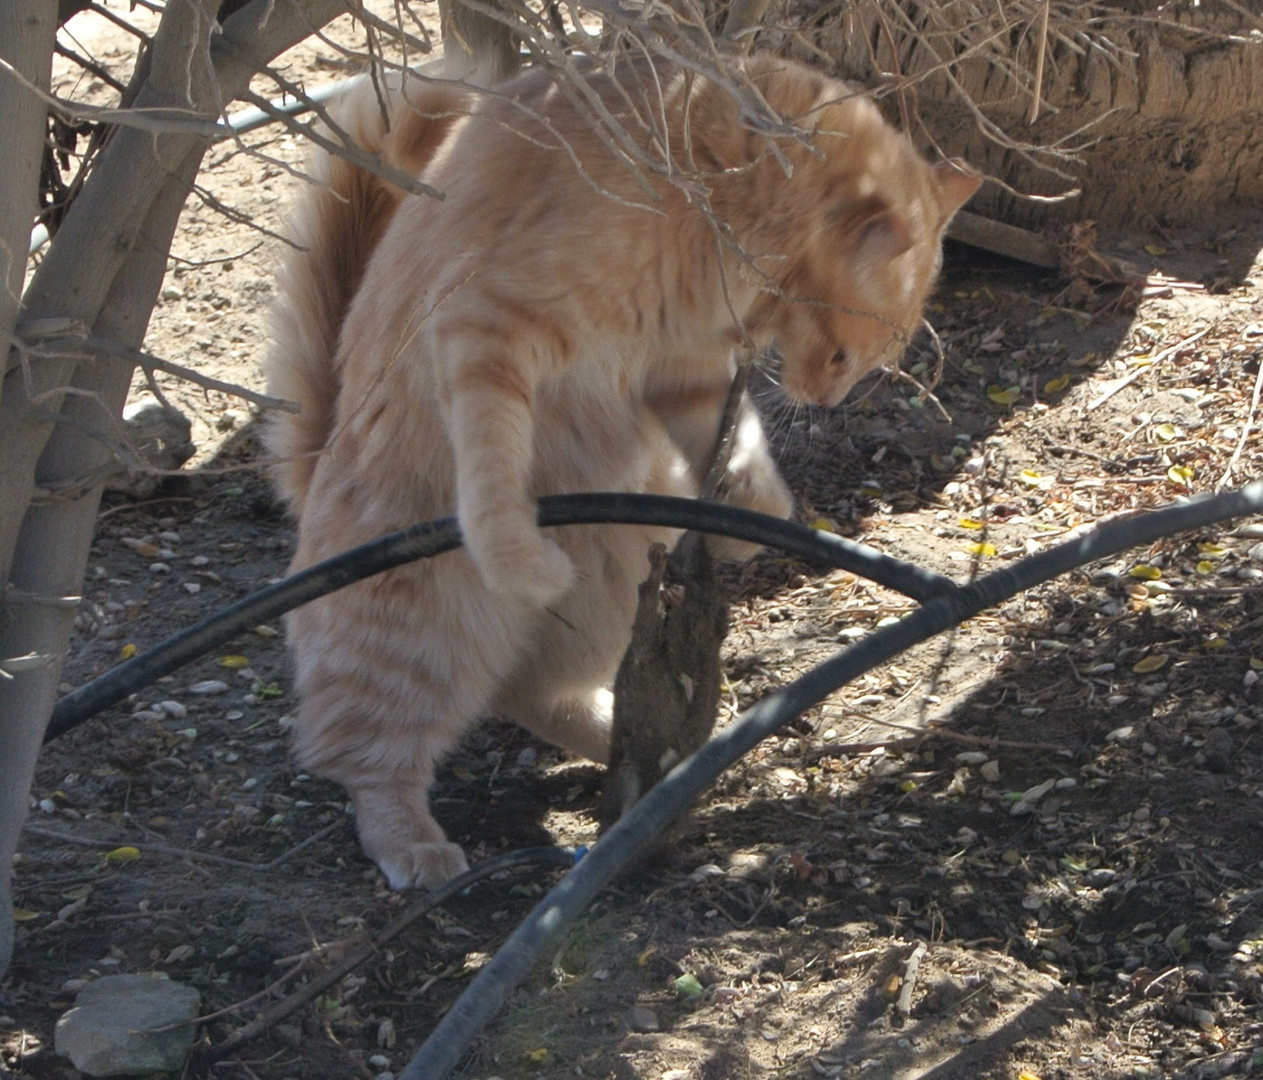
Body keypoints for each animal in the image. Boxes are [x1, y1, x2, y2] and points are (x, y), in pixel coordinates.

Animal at [263, 54, 975, 889]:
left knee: (533, 692)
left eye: (863, 364)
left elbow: (740, 450)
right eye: (840, 356)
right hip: (412, 632)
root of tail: (313, 470)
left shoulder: (684, 371)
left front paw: (752, 518)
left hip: (622, 571)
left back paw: (667, 753)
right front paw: (521, 556)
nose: (827, 399)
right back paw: (414, 841)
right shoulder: (487, 331)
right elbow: (491, 472)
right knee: (368, 757)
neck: (713, 193)